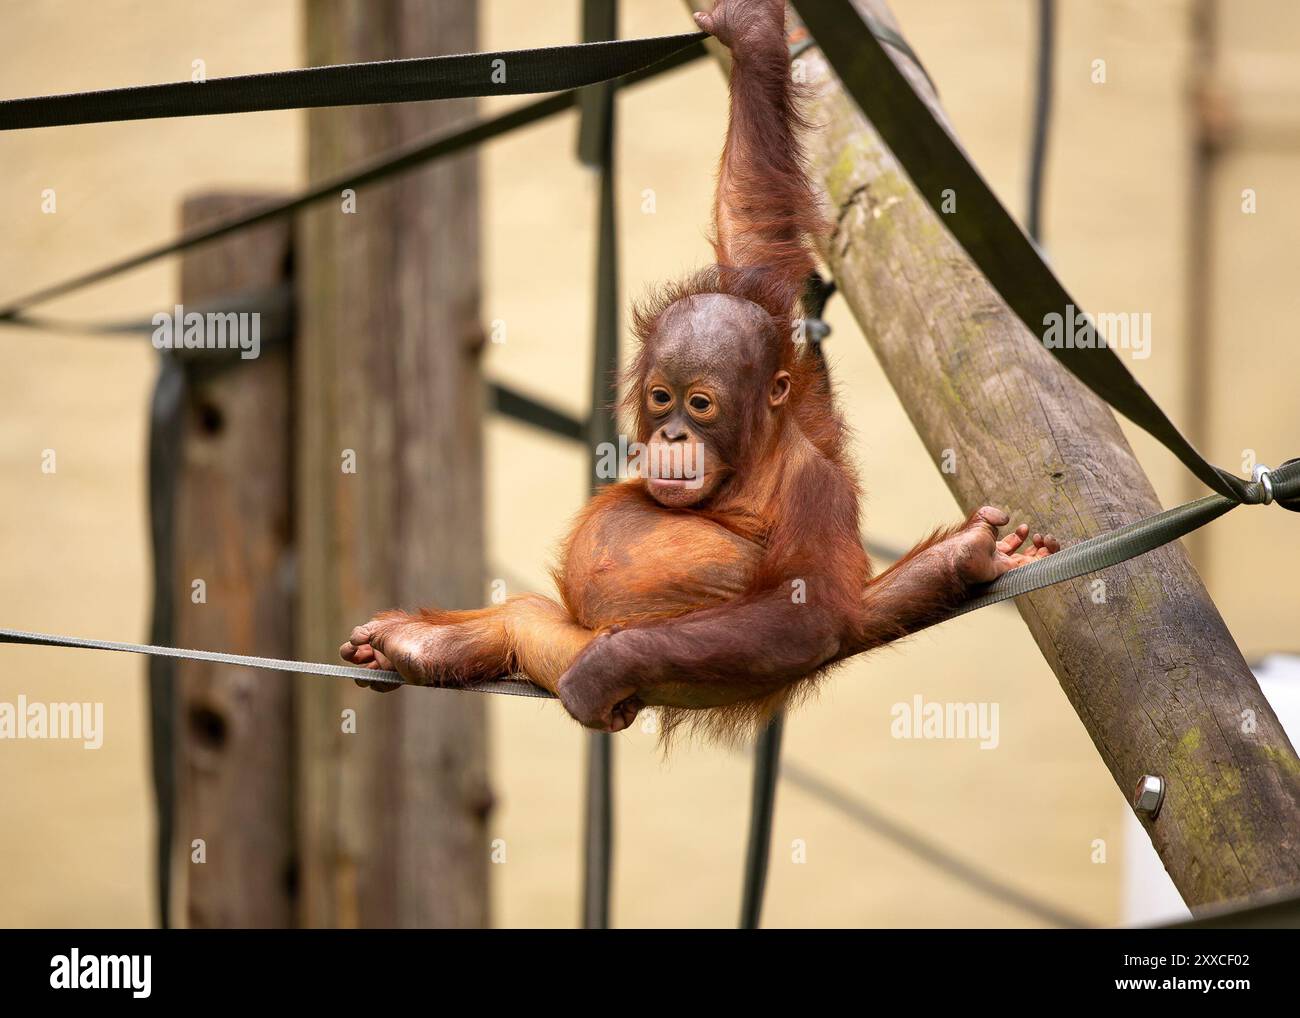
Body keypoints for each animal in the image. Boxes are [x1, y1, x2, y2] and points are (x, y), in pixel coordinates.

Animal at [340, 0, 1059, 743]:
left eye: (702, 404)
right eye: (662, 397)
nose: (674, 434)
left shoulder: (816, 487)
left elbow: (804, 613)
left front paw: (604, 672)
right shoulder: (789, 361)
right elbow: (752, 234)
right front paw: (752, 36)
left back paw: (970, 557)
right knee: (528, 618)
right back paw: (418, 645)